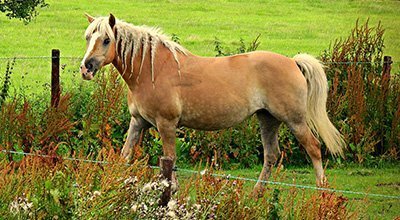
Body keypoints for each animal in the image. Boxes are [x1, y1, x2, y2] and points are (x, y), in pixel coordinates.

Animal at [80, 13, 344, 192]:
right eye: (88, 37)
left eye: (106, 40)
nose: (86, 68)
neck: (152, 70)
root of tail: (292, 62)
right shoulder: (138, 122)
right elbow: (124, 156)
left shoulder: (166, 124)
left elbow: (170, 160)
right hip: (268, 120)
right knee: (271, 155)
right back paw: (256, 194)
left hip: (295, 120)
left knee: (314, 148)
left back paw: (321, 190)